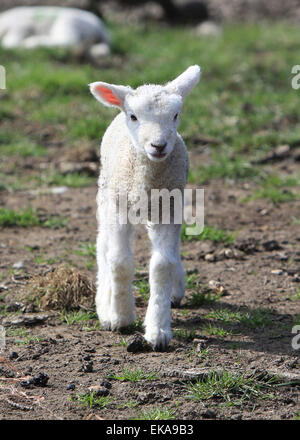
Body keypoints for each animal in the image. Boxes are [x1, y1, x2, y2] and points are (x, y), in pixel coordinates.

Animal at [89, 64, 202, 350]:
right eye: (134, 116)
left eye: (175, 115)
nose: (158, 145)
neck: (148, 179)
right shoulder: (119, 209)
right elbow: (120, 262)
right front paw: (120, 317)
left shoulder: (168, 209)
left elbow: (162, 265)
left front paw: (158, 331)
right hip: (106, 194)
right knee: (103, 245)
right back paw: (104, 303)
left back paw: (176, 290)